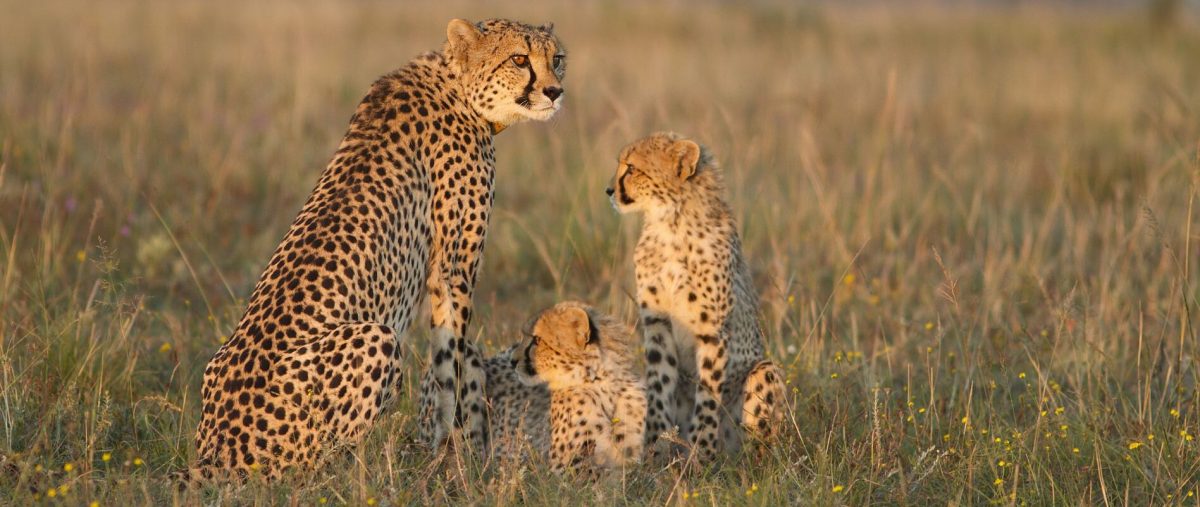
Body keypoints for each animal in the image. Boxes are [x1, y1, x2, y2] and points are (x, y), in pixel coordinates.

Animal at [183, 18, 567, 481]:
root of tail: (213, 452)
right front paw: (454, 453)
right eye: (519, 59)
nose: (554, 91)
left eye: (557, 58)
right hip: (376, 337)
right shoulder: (453, 271)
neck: (458, 86)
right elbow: (451, 366)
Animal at [605, 132, 786, 463]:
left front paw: (702, 453)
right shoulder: (658, 324)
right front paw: (656, 448)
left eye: (632, 168)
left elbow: (708, 394)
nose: (609, 190)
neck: (670, 225)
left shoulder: (711, 330)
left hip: (764, 373)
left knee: (760, 449)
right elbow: (660, 386)